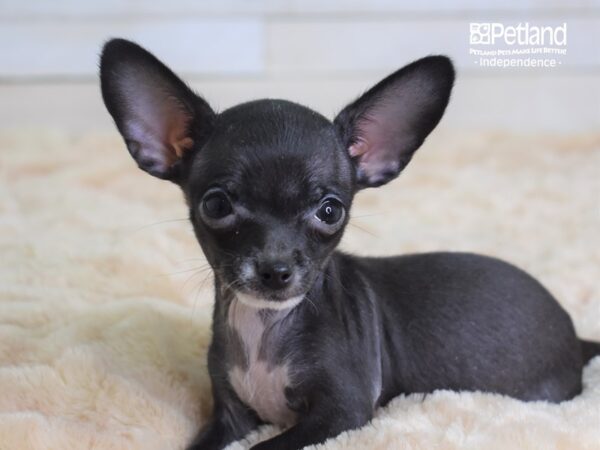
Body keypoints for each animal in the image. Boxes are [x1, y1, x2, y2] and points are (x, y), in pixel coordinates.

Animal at [99, 39, 600, 450]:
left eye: (329, 211)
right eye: (217, 205)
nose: (276, 270)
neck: (267, 328)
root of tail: (575, 338)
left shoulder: (341, 412)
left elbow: (265, 448)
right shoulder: (230, 416)